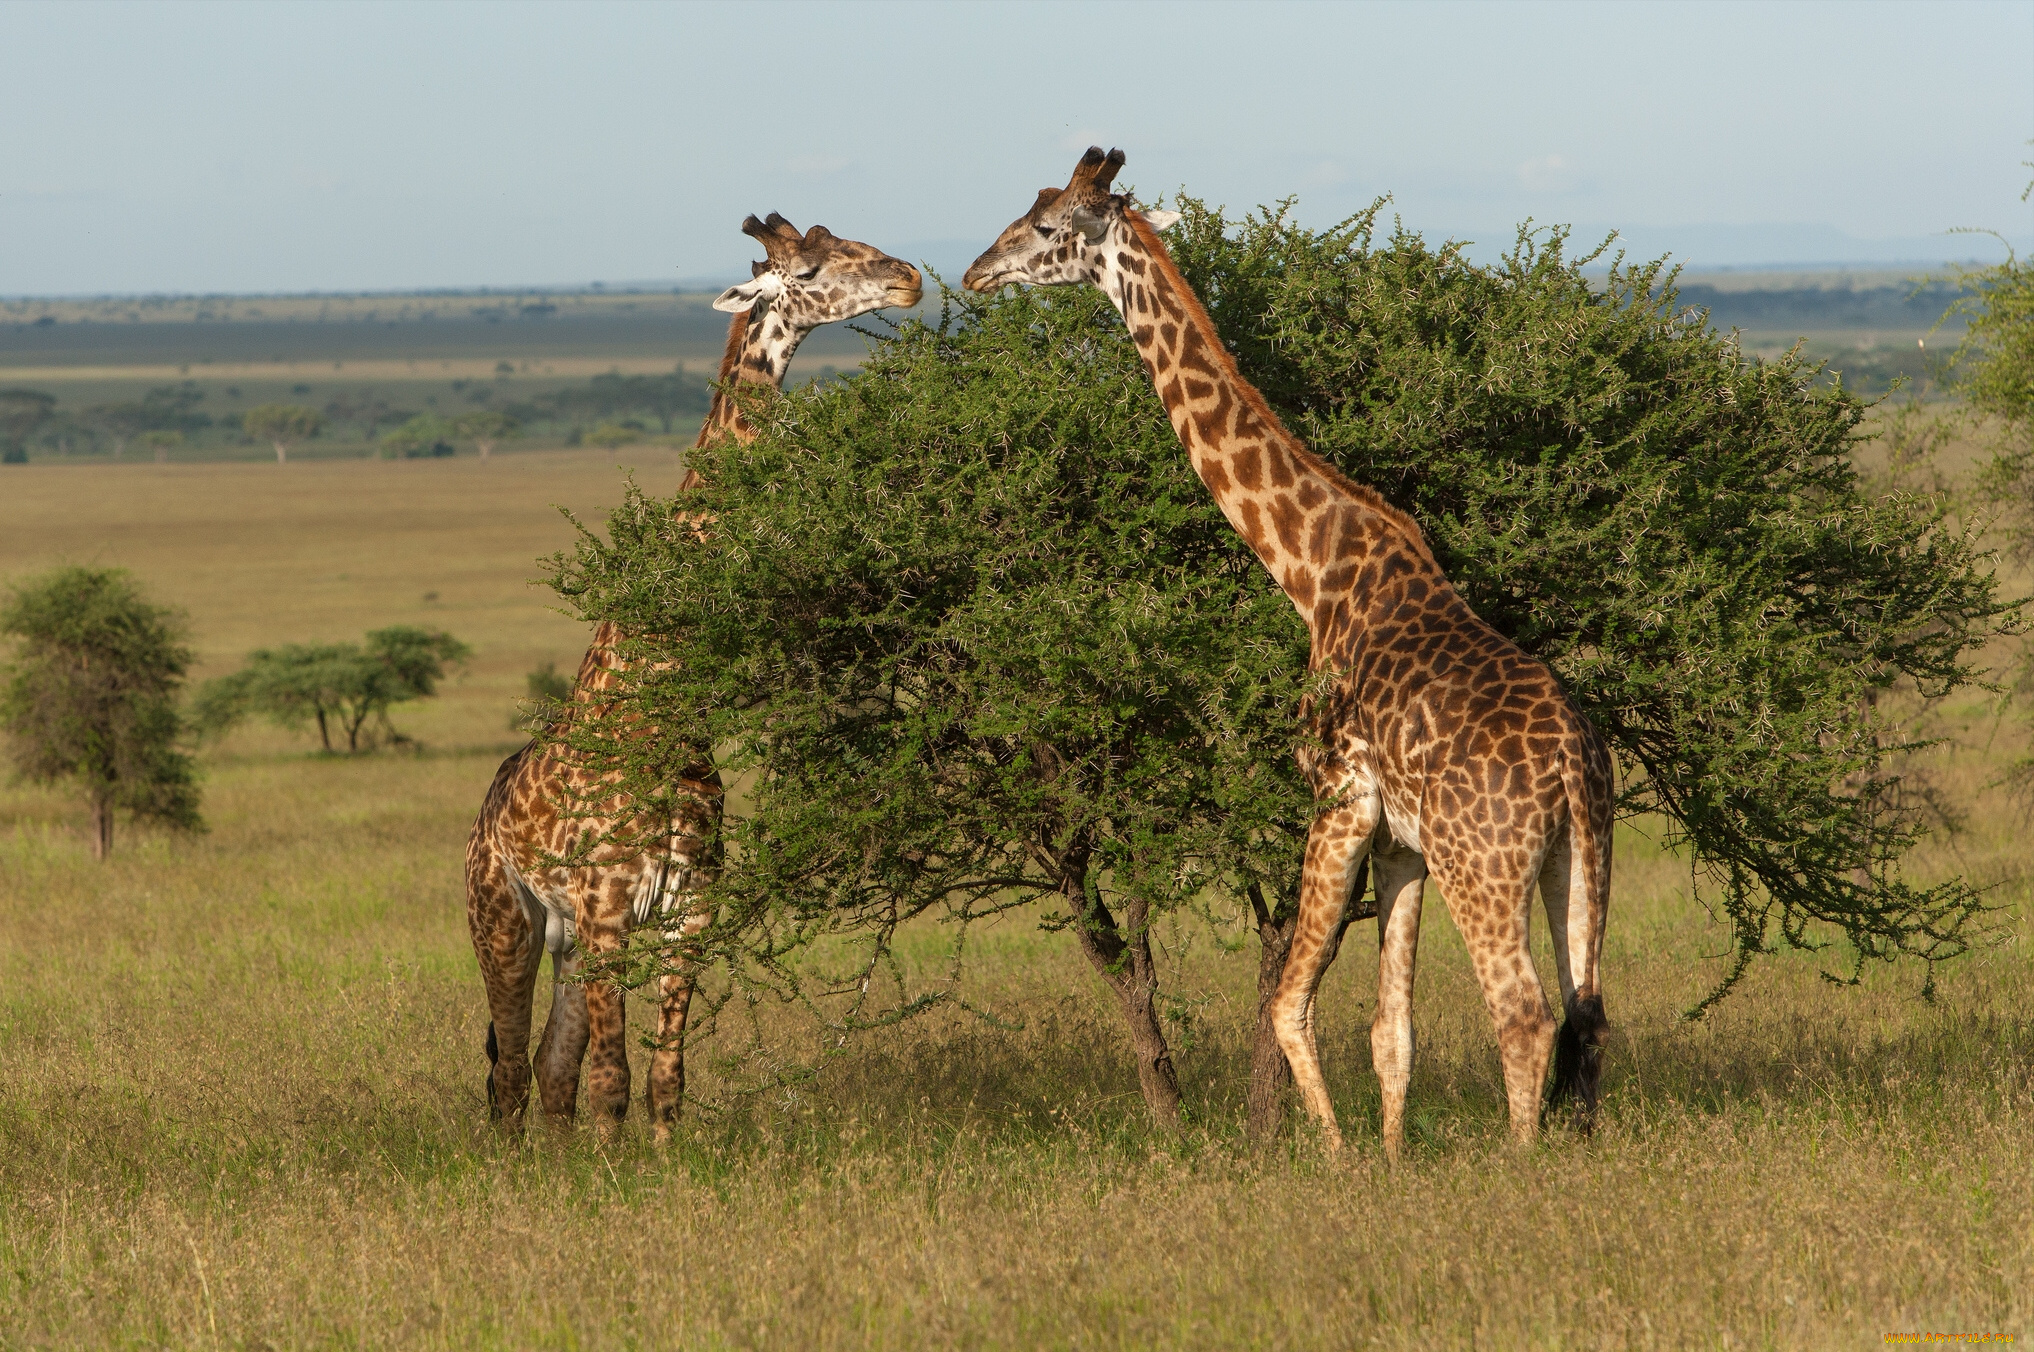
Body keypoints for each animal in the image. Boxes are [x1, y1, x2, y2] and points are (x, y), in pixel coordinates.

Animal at [465, 216, 919, 1146]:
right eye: (809, 268)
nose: (909, 279)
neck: (663, 701)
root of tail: (481, 817)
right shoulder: (608, 911)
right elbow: (612, 1078)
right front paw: (618, 1174)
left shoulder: (688, 912)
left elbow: (663, 1078)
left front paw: (666, 1166)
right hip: (503, 921)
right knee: (511, 1077)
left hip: (565, 938)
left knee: (549, 1072)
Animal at [960, 150, 1610, 1162]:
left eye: (1045, 228)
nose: (975, 272)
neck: (1311, 572)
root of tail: (1574, 763)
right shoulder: (1399, 842)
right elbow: (1391, 1028)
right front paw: (1389, 1162)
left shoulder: (1336, 800)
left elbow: (1287, 1004)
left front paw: (1339, 1159)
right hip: (1578, 859)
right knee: (1587, 1013)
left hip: (1485, 864)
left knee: (1524, 1013)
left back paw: (1521, 1167)